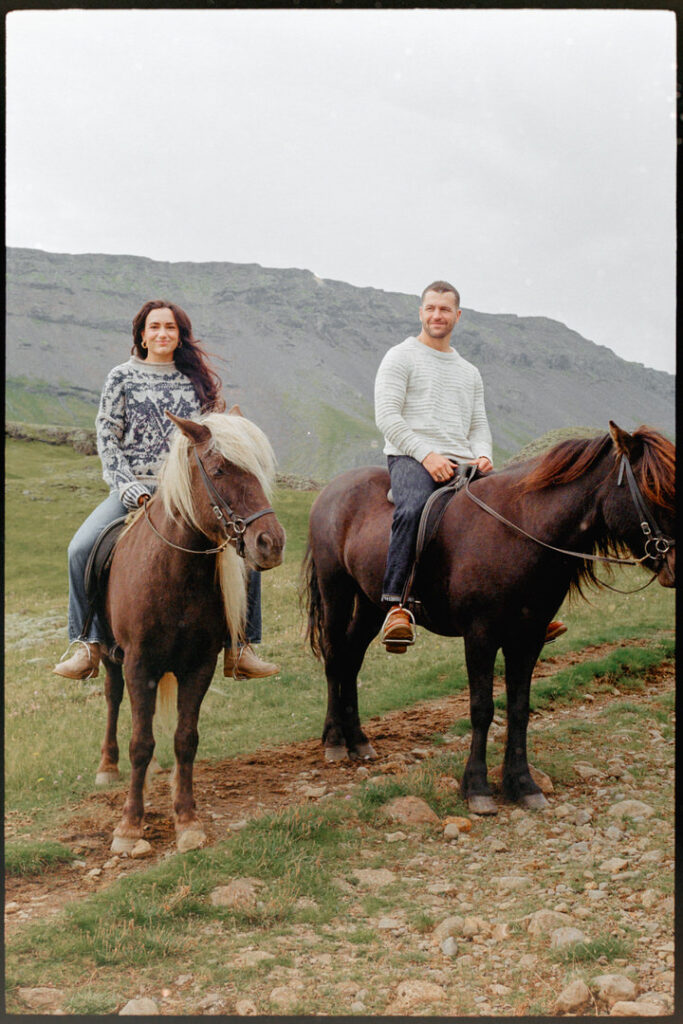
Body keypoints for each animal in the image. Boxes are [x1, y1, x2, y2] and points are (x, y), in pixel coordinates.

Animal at [96, 409, 286, 852]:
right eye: (219, 470)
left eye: (260, 470)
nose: (270, 543)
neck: (172, 573)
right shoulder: (138, 665)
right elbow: (140, 742)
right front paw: (129, 825)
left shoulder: (199, 666)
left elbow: (186, 739)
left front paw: (187, 819)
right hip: (111, 656)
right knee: (113, 699)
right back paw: (107, 764)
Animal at [303, 422, 675, 814]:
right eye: (654, 489)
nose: (675, 566)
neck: (521, 529)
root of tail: (332, 490)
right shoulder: (480, 635)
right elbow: (482, 708)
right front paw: (477, 787)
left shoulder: (528, 637)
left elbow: (519, 708)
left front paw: (522, 784)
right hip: (336, 591)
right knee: (335, 658)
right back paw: (335, 741)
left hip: (370, 605)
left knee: (351, 660)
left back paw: (358, 740)